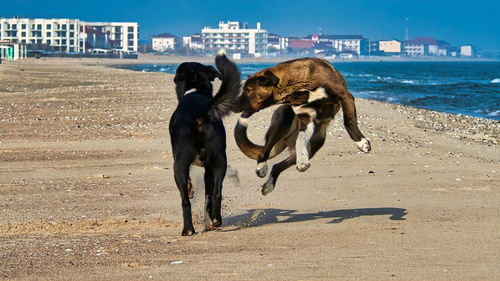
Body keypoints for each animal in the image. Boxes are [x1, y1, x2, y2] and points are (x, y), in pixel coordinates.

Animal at [169, 50, 241, 234]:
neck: (195, 90)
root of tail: (200, 115)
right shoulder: (208, 169)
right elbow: (209, 194)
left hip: (181, 163)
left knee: (189, 200)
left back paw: (192, 228)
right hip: (219, 160)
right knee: (215, 193)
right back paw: (211, 222)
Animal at [232, 58, 370, 194]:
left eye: (248, 90)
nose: (232, 105)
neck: (299, 86)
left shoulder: (344, 96)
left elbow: (348, 121)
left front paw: (361, 143)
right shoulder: (305, 116)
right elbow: (300, 139)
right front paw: (302, 160)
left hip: (315, 143)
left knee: (277, 165)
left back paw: (269, 184)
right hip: (282, 122)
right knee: (264, 151)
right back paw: (262, 167)